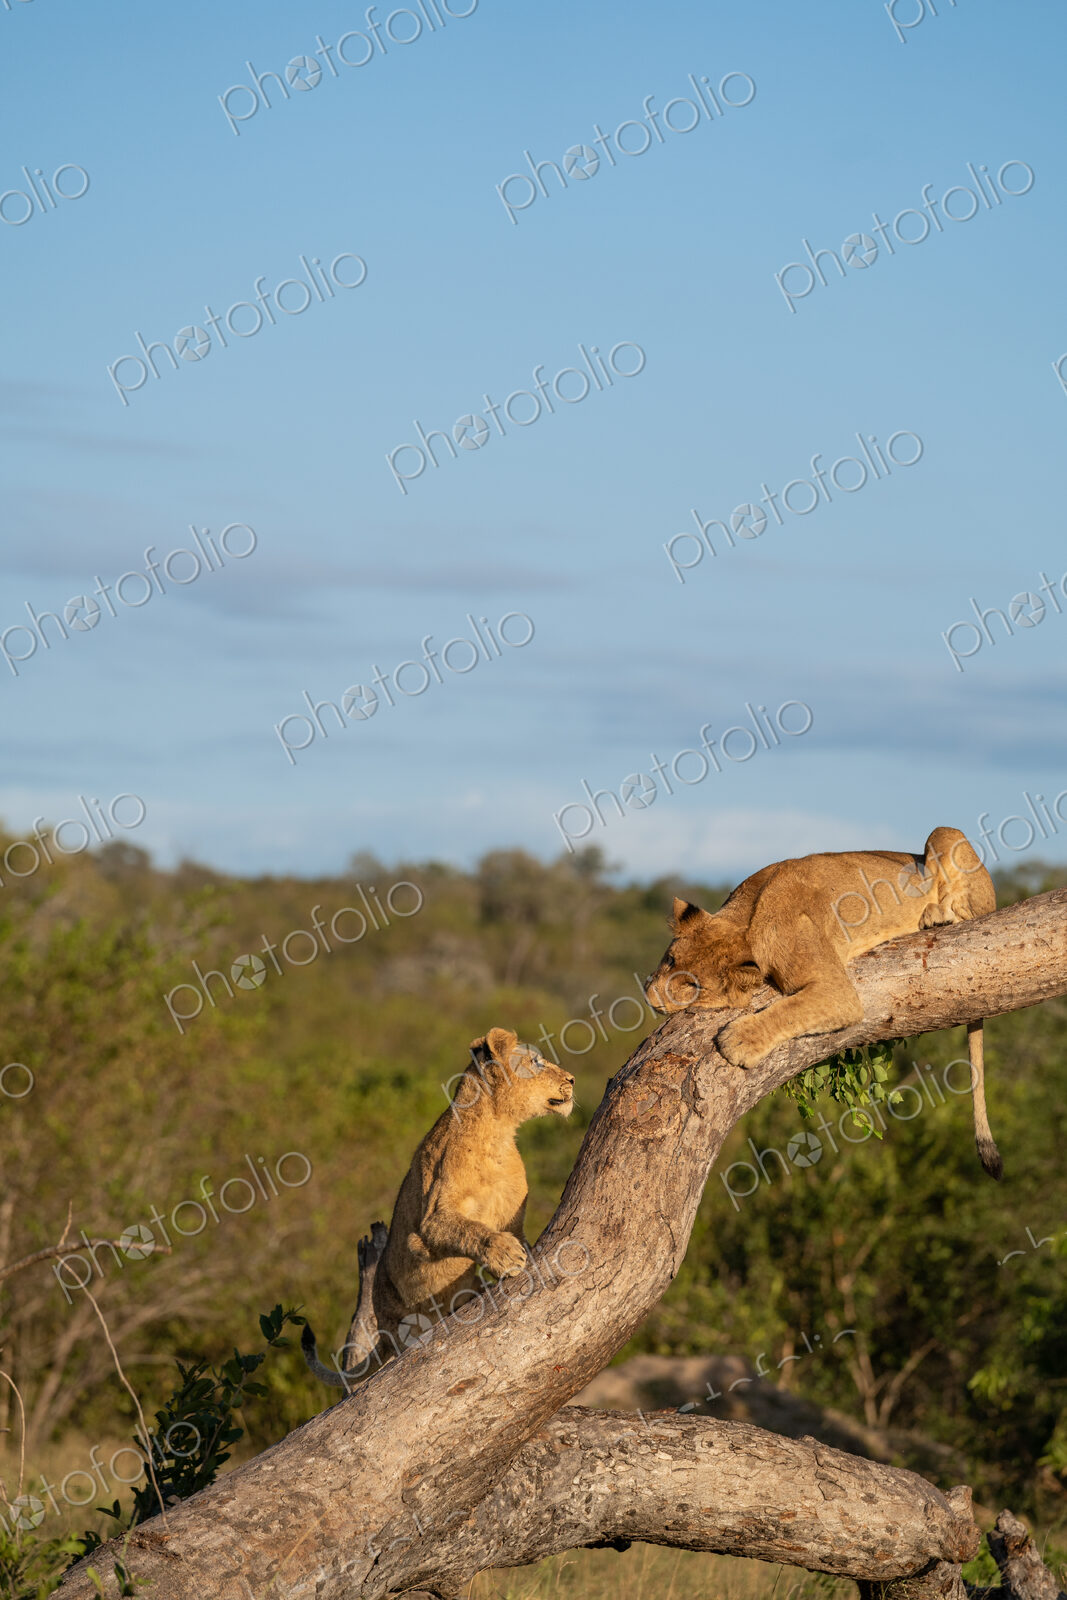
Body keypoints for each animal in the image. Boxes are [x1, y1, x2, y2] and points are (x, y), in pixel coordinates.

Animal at [302, 1027, 575, 1386]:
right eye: (537, 1062)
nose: (572, 1079)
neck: (499, 1132)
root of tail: (382, 1326)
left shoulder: (513, 1217)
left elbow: (516, 1233)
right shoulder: (427, 1225)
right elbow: (470, 1230)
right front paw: (506, 1256)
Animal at [644, 826, 1002, 1178]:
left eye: (693, 986)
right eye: (670, 959)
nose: (649, 996)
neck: (748, 920)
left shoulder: (837, 991)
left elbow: (790, 1010)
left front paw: (738, 1041)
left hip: (945, 835)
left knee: (966, 909)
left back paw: (938, 915)